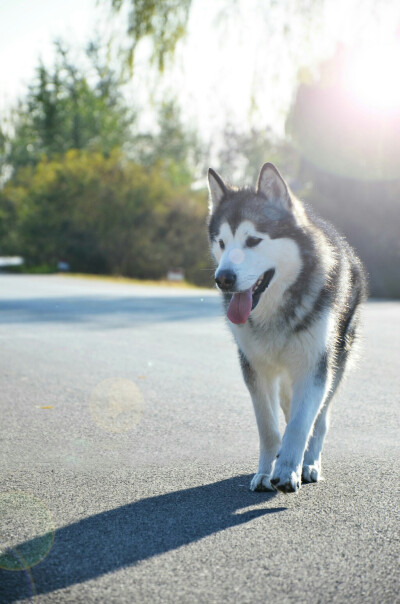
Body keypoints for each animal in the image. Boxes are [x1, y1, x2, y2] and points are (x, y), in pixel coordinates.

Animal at [208, 163, 368, 494]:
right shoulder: (255, 368)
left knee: (320, 419)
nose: (223, 279)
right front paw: (266, 471)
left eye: (253, 241)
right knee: (287, 402)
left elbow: (300, 424)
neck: (276, 312)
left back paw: (309, 463)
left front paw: (287, 471)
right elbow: (269, 427)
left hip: (335, 361)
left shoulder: (314, 367)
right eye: (222, 243)